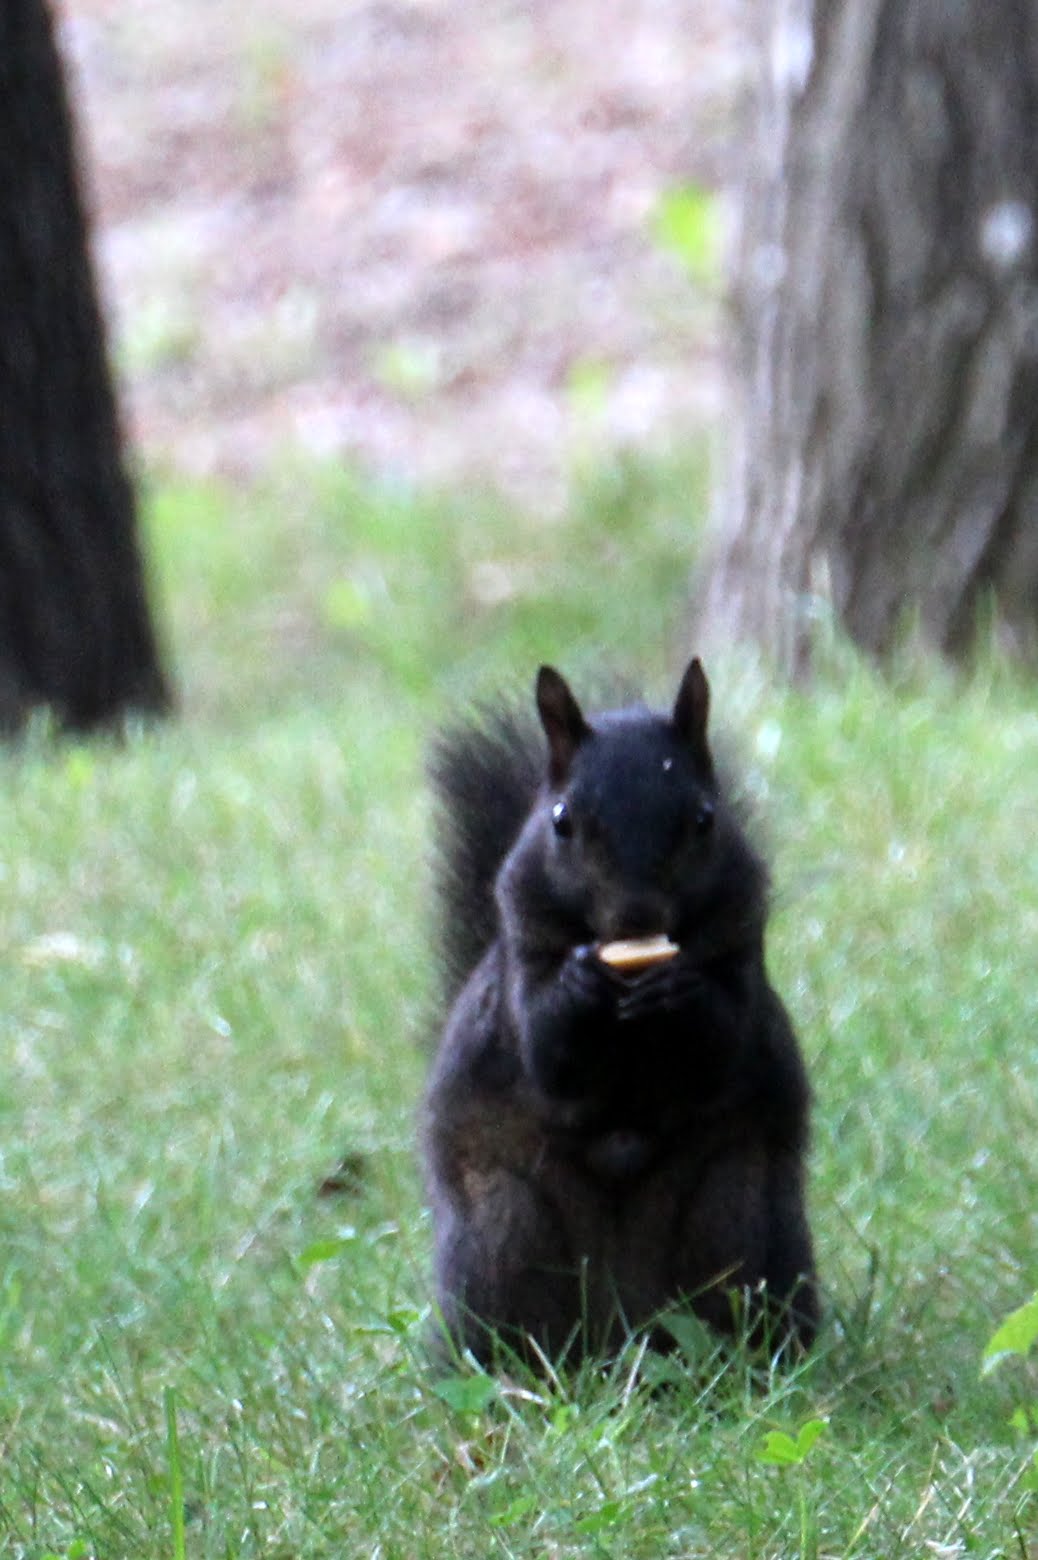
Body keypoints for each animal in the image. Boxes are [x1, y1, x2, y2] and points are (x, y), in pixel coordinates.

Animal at [422, 658, 818, 1367]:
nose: (637, 916)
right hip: (501, 1233)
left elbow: (722, 1042)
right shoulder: (520, 965)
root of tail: (620, 1333)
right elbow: (546, 1052)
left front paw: (680, 989)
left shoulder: (743, 941)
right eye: (560, 820)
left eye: (705, 819)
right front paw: (581, 983)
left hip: (737, 1213)